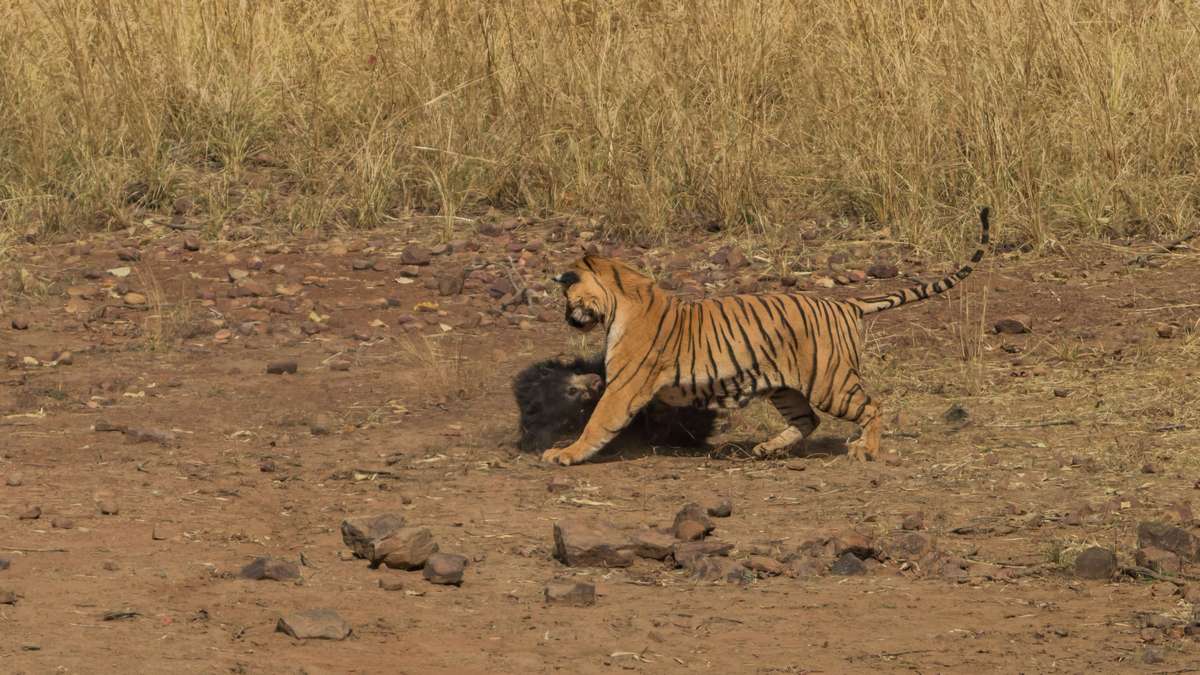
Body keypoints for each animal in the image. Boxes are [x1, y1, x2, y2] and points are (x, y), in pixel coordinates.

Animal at [544, 207, 993, 466]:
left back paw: (865, 450)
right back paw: (766, 449)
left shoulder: (624, 386)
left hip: (831, 382)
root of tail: (845, 304)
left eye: (566, 294)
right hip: (786, 387)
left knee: (873, 405)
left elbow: (598, 422)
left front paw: (564, 453)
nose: (566, 317)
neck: (621, 296)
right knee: (808, 420)